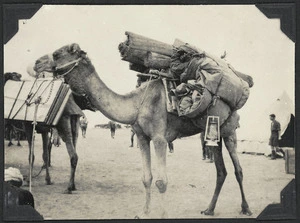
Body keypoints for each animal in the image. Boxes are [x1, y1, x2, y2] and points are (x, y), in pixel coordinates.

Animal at [34, 43, 253, 218]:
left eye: (57, 54)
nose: (36, 63)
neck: (136, 103)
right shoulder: (141, 137)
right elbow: (146, 178)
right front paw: (144, 212)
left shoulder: (159, 138)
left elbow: (161, 182)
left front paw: (162, 215)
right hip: (212, 133)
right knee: (221, 171)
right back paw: (209, 209)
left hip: (229, 129)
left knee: (238, 169)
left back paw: (246, 208)